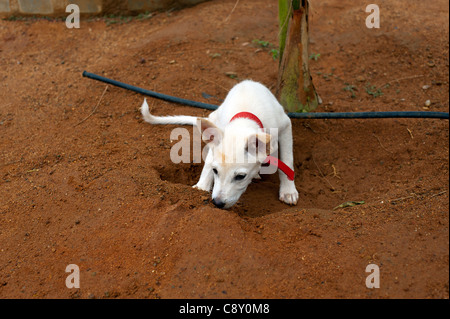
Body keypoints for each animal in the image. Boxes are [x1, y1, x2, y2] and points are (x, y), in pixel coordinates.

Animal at [139, 80, 298, 210]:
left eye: (240, 176)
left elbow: (287, 161)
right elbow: (208, 165)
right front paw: (201, 188)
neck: (244, 120)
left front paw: (288, 191)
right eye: (215, 171)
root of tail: (248, 82)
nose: (217, 203)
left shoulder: (285, 126)